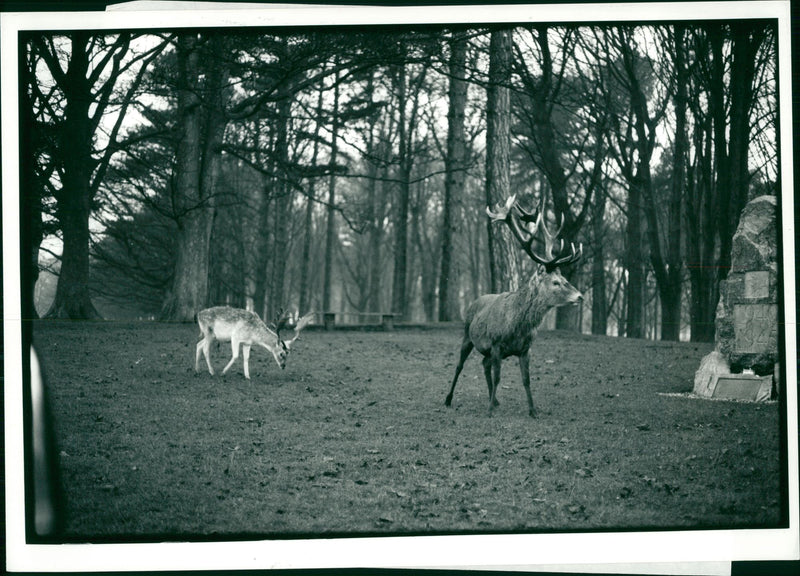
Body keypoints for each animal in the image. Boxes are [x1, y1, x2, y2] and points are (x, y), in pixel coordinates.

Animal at [444, 196, 580, 416]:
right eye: (555, 282)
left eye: (565, 279)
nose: (580, 296)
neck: (517, 327)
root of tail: (475, 301)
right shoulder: (496, 344)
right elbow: (499, 377)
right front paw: (489, 411)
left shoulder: (525, 350)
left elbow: (526, 380)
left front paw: (533, 411)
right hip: (467, 336)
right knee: (459, 366)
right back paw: (449, 399)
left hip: (486, 350)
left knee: (484, 364)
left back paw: (495, 399)